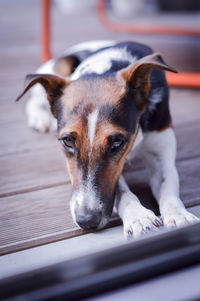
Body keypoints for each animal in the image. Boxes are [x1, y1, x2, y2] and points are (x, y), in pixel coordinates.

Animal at [16, 39, 199, 238]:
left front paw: (179, 215)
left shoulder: (160, 155)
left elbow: (168, 186)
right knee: (34, 98)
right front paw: (138, 216)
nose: (86, 221)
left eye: (117, 142)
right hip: (59, 66)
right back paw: (40, 117)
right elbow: (122, 191)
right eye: (67, 141)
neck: (105, 67)